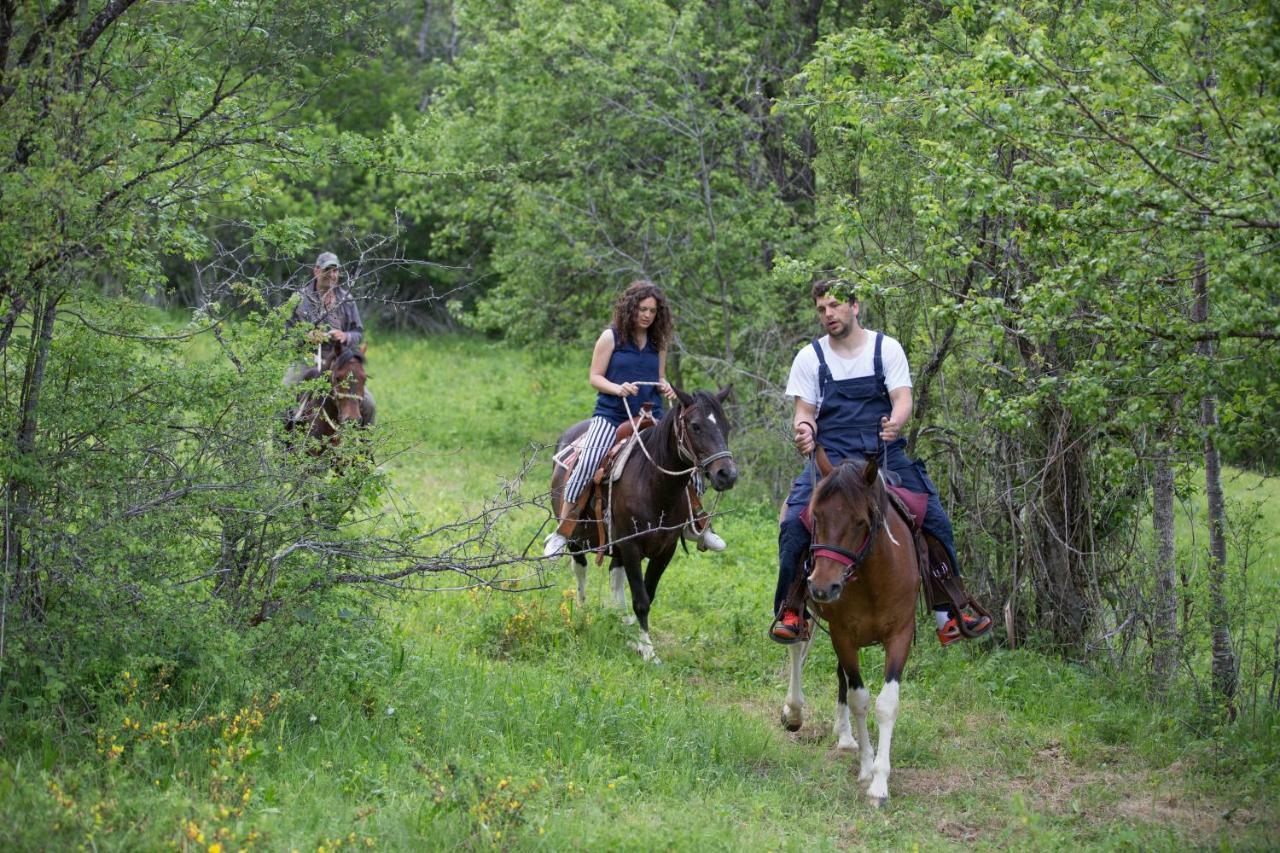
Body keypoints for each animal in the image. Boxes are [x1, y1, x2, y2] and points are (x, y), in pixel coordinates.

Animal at [550, 389, 742, 660]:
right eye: (695, 426)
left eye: (726, 426)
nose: (727, 475)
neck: (654, 484)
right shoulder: (631, 546)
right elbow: (640, 600)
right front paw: (649, 652)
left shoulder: (665, 550)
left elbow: (646, 595)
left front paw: (639, 641)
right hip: (577, 539)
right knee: (580, 568)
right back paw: (581, 612)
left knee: (615, 577)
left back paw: (624, 625)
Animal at [778, 445, 921, 804]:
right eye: (815, 516)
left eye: (860, 521)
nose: (822, 587)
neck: (873, 579)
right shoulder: (842, 634)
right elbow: (860, 699)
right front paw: (868, 769)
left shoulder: (900, 634)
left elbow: (886, 704)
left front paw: (880, 783)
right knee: (798, 648)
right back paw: (794, 711)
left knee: (840, 674)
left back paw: (844, 735)